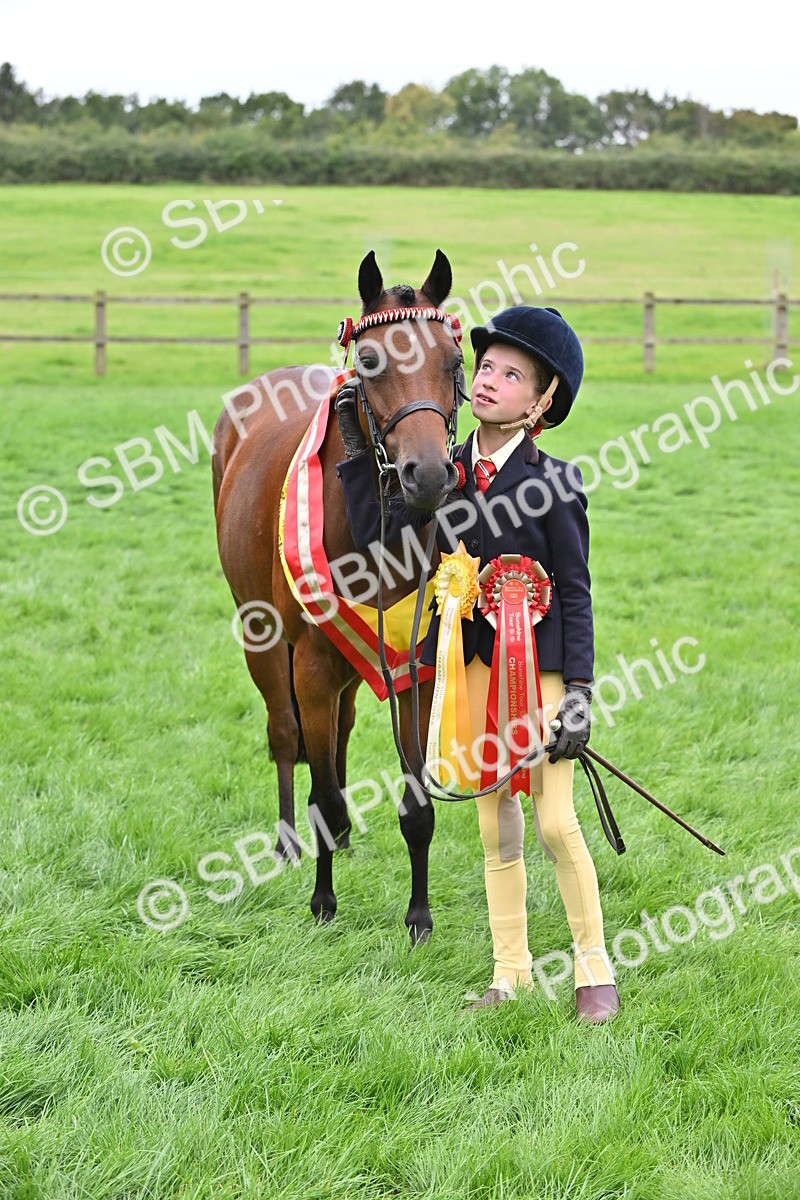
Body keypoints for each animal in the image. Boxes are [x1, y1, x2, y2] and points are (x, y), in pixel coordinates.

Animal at [211, 250, 462, 943]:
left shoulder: (413, 665)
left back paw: (345, 837)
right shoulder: (313, 664)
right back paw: (289, 843)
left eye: (455, 360)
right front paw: (323, 904)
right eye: (371, 361)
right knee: (284, 733)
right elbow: (318, 786)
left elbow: (416, 803)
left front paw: (418, 916)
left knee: (341, 730)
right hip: (265, 642)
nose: (429, 476)